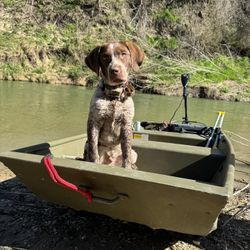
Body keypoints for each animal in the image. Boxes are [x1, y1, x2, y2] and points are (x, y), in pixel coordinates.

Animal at [83, 41, 144, 170]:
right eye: (105, 57)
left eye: (123, 54)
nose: (115, 70)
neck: (114, 95)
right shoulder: (94, 122)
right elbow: (93, 150)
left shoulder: (126, 124)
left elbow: (126, 152)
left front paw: (127, 168)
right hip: (86, 145)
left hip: (134, 153)